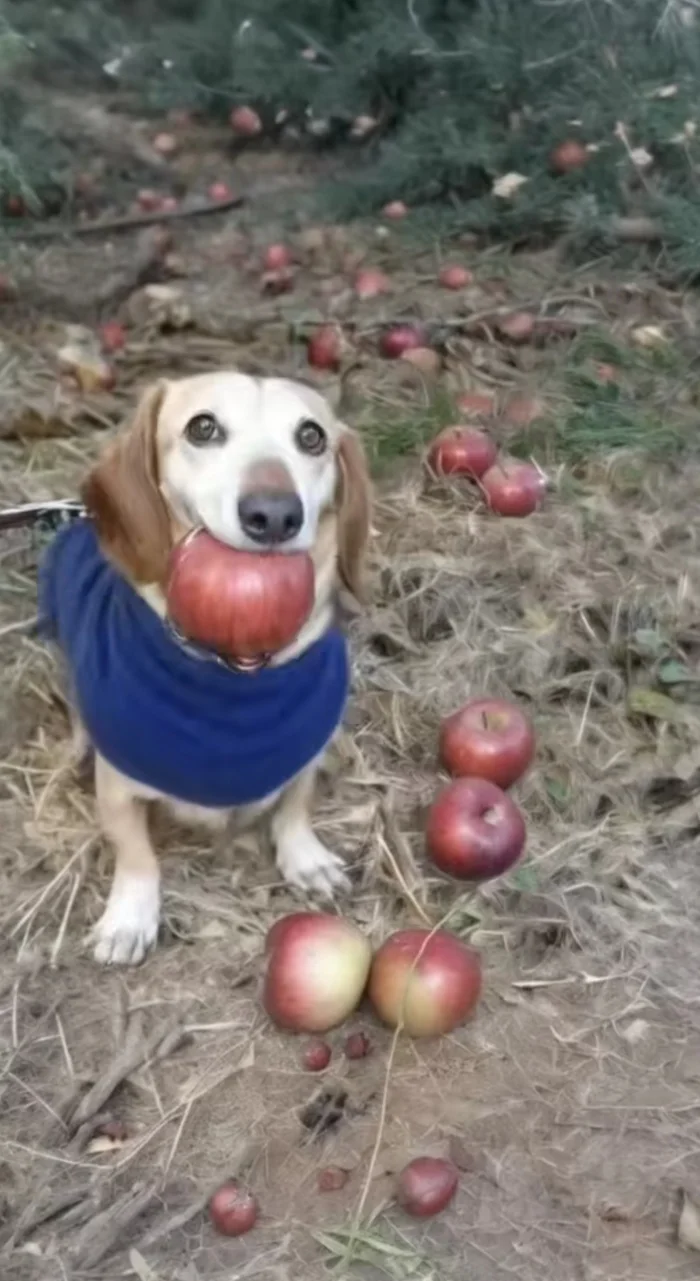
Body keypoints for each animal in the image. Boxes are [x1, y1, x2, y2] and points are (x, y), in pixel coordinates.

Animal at [39, 374, 369, 963]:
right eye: (203, 428)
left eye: (311, 437)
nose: (275, 515)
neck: (234, 672)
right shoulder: (119, 788)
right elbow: (136, 853)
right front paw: (130, 917)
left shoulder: (304, 757)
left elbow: (294, 806)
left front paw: (304, 856)